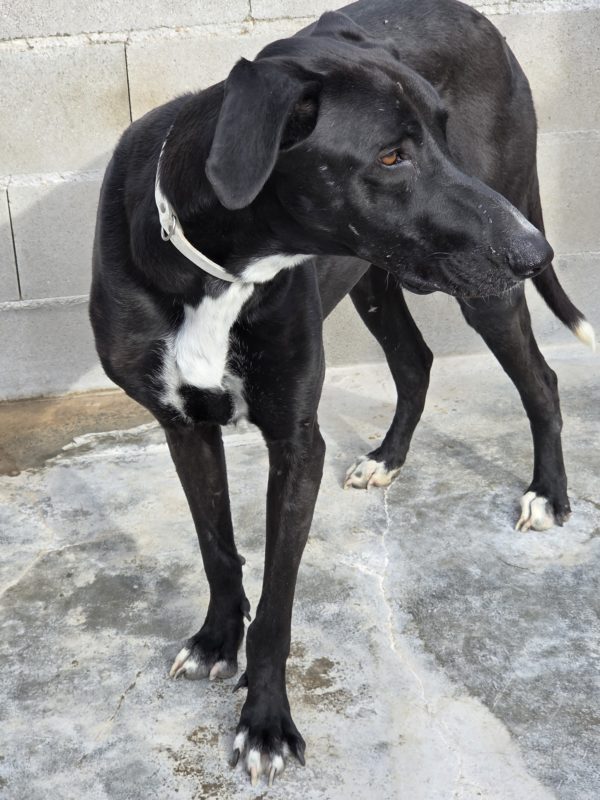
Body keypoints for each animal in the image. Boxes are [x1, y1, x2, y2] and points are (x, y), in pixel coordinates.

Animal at [90, 0, 594, 786]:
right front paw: (216, 640)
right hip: (381, 278)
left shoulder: (298, 442)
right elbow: (216, 546)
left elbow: (277, 605)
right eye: (391, 156)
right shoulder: (182, 425)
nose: (536, 252)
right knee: (416, 361)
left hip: (480, 287)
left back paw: (549, 493)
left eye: (443, 131)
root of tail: (478, 18)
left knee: (539, 379)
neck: (215, 271)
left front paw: (265, 724)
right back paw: (389, 457)